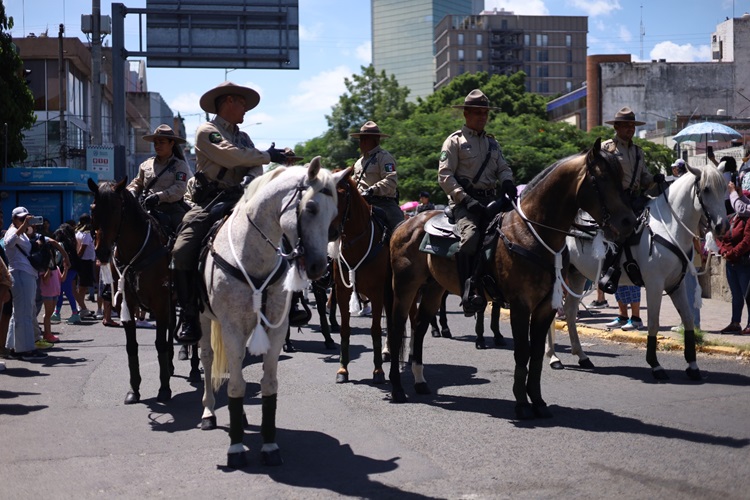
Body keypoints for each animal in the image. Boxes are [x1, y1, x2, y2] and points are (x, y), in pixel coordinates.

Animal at [194, 160, 346, 468]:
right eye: (311, 208)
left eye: (333, 214)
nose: (318, 267)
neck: (251, 254)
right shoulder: (231, 327)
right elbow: (236, 387)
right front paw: (236, 448)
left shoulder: (275, 328)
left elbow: (268, 384)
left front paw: (269, 445)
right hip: (204, 320)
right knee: (209, 360)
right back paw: (209, 412)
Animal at [332, 172, 396, 382]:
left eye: (342, 194)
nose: (331, 231)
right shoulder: (342, 292)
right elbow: (344, 329)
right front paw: (342, 369)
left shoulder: (377, 293)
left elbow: (375, 329)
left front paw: (378, 371)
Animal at [390, 138, 636, 418]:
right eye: (601, 179)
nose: (629, 221)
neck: (531, 233)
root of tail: (405, 224)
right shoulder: (521, 305)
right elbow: (521, 352)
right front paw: (521, 403)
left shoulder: (545, 307)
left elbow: (536, 354)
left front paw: (538, 402)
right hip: (405, 287)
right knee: (398, 327)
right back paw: (397, 389)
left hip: (433, 289)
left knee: (419, 327)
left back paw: (420, 381)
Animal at [548, 163, 732, 378]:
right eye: (706, 189)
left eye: (725, 188)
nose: (722, 226)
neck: (668, 227)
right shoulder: (654, 284)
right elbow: (653, 322)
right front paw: (655, 365)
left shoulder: (676, 285)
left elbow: (687, 321)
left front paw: (693, 366)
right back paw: (553, 357)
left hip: (576, 275)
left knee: (569, 311)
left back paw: (581, 356)